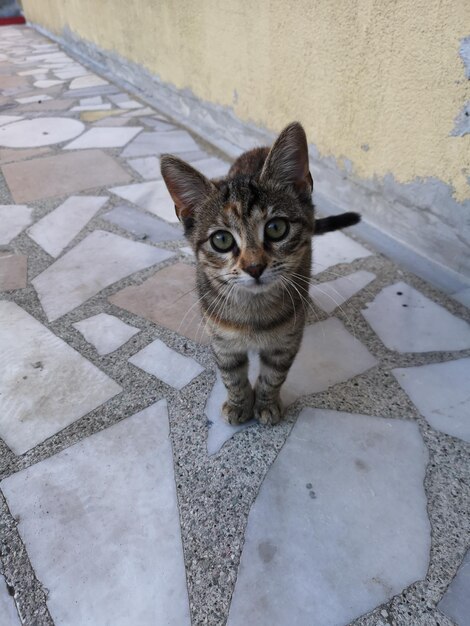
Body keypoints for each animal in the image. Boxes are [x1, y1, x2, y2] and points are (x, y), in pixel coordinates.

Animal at [161, 122, 360, 424]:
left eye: (276, 228)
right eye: (221, 240)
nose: (254, 267)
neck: (253, 311)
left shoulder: (286, 342)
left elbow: (273, 375)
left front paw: (265, 403)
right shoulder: (222, 342)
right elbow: (232, 376)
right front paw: (239, 404)